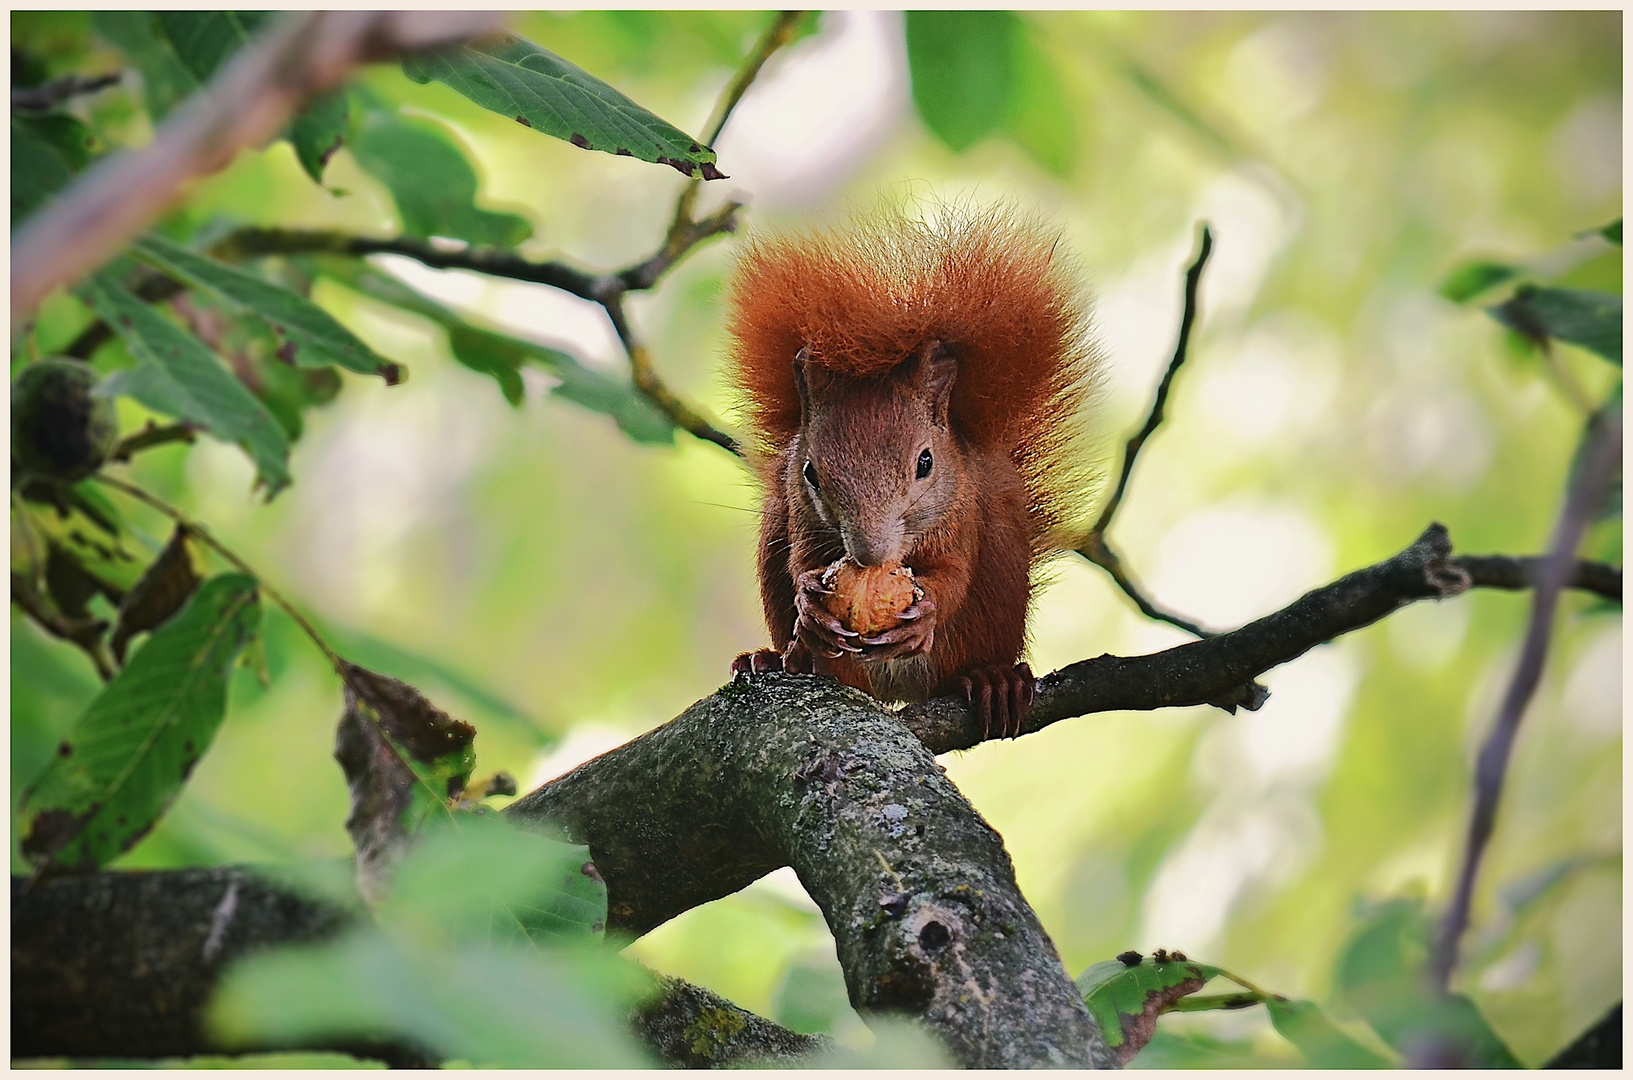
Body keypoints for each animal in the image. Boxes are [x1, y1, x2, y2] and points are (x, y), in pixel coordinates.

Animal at [725, 205, 1097, 738]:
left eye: (926, 462)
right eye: (811, 471)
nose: (869, 553)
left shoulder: (961, 513)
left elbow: (953, 574)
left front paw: (928, 610)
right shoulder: (801, 515)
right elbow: (802, 564)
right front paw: (811, 606)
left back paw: (993, 680)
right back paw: (780, 660)